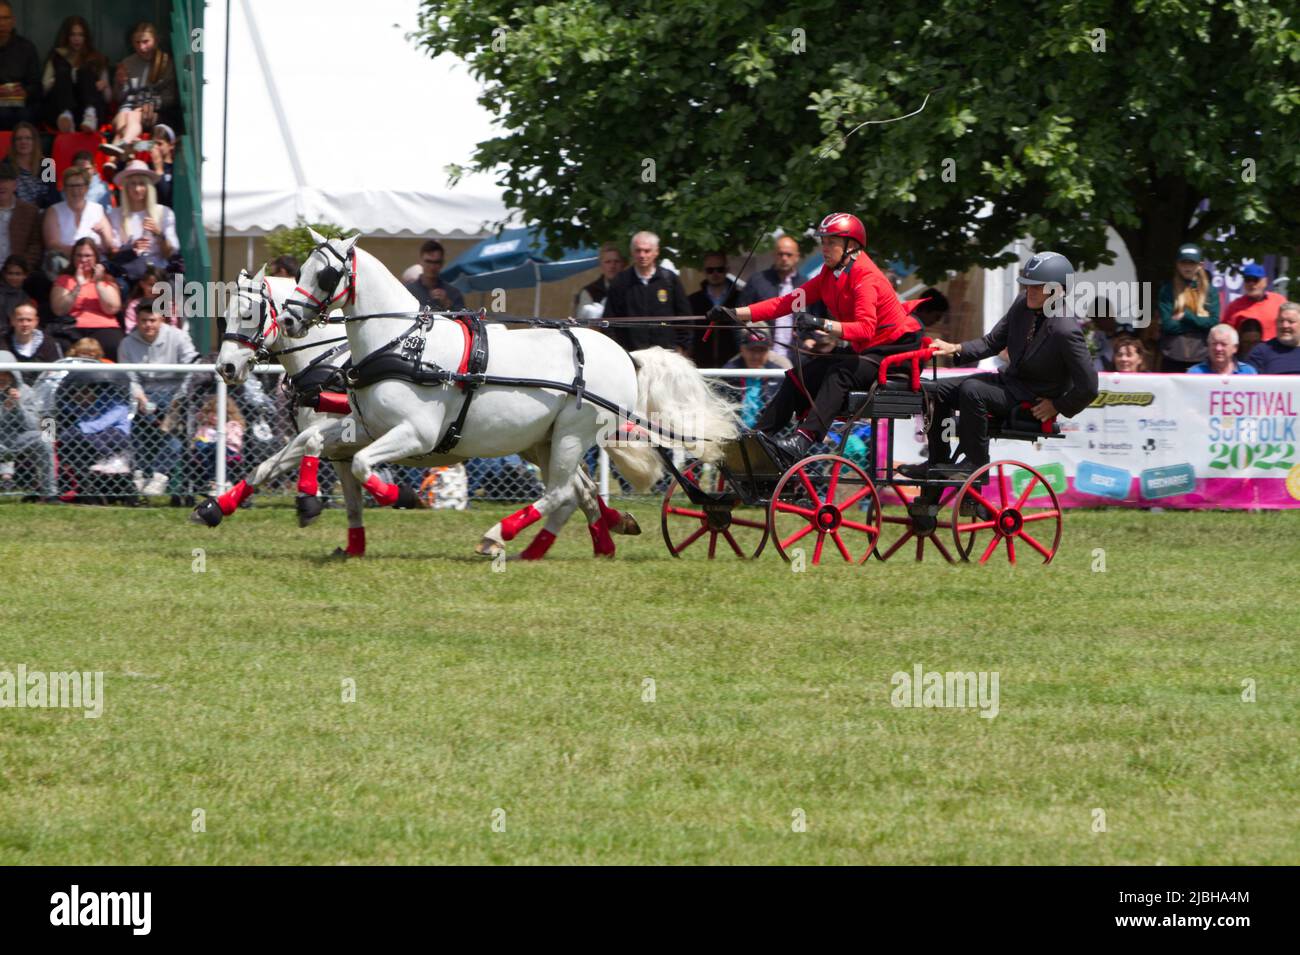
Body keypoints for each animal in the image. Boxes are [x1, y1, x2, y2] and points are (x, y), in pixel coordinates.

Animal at [279, 229, 738, 561]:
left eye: (325, 274)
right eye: (299, 271)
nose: (288, 320)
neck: (404, 346)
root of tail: (627, 355)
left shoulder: (415, 433)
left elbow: (359, 465)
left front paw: (399, 496)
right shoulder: (366, 427)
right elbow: (316, 441)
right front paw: (308, 503)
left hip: (573, 432)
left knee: (560, 492)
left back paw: (499, 535)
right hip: (544, 440)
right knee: (577, 491)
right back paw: (588, 541)